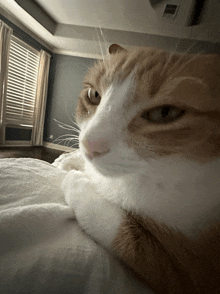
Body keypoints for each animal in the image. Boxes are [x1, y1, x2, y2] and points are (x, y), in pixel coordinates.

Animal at [58, 44, 220, 294]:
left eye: (164, 112)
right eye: (94, 95)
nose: (89, 144)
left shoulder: (188, 273)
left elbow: (120, 232)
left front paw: (76, 180)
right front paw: (69, 160)